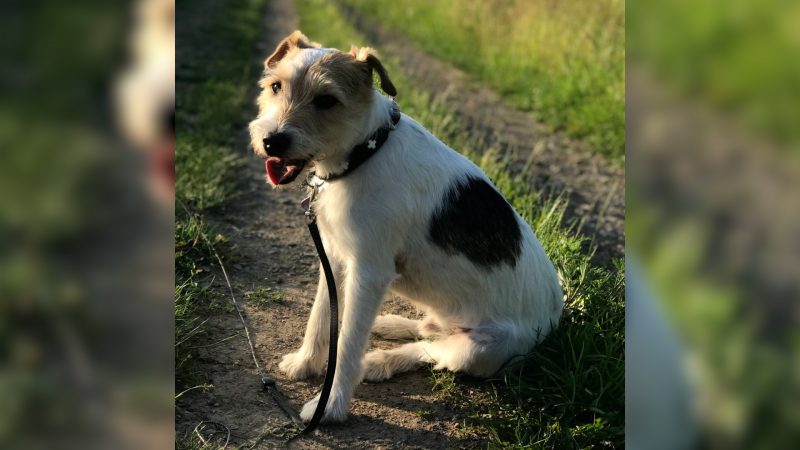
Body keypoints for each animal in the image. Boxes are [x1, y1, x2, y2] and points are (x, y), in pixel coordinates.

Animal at [250, 31, 564, 422]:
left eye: (327, 100)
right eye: (276, 86)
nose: (272, 141)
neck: (366, 151)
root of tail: (555, 319)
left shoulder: (369, 272)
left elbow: (348, 342)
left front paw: (331, 405)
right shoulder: (335, 259)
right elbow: (322, 316)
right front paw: (305, 362)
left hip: (481, 349)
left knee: (432, 350)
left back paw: (380, 361)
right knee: (430, 330)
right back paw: (390, 324)